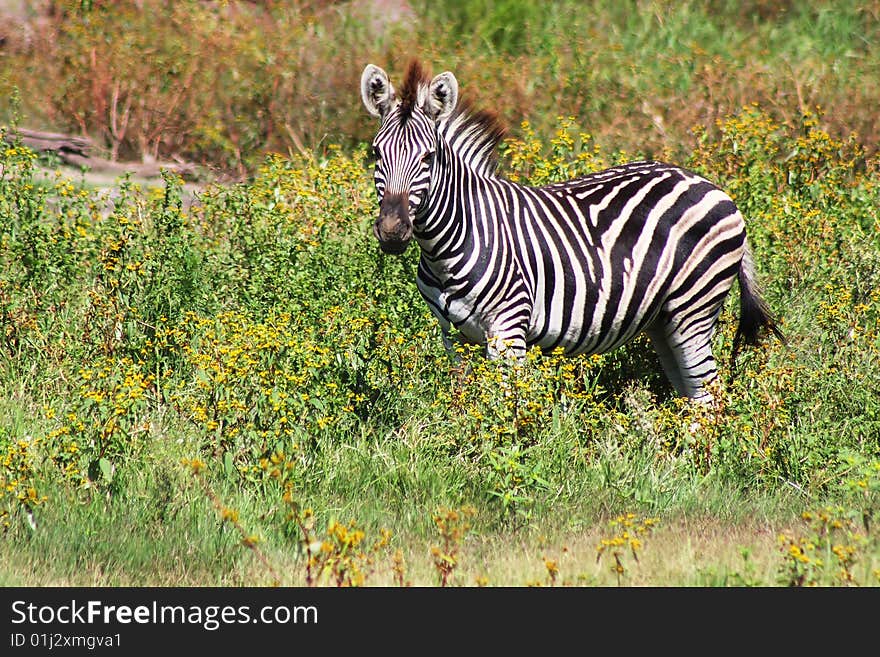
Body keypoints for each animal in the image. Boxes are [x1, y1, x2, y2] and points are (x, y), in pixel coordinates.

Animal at [358, 61, 784, 402]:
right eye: (376, 153)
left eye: (429, 157)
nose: (393, 231)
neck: (449, 244)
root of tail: (715, 187)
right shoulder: (454, 337)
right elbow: (468, 406)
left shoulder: (509, 330)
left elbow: (505, 406)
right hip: (663, 320)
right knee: (692, 397)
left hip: (692, 307)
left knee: (711, 397)